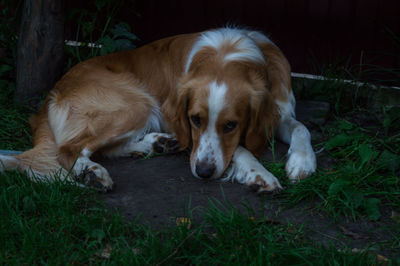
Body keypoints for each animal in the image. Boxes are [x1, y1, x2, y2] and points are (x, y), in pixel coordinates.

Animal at [0, 27, 316, 191]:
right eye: (195, 120)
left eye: (230, 125)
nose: (203, 172)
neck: (230, 52)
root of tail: (53, 93)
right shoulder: (193, 136)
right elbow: (239, 148)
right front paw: (259, 173)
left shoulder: (281, 111)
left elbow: (302, 127)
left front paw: (302, 161)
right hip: (137, 102)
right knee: (68, 149)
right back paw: (93, 172)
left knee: (100, 148)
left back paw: (156, 144)